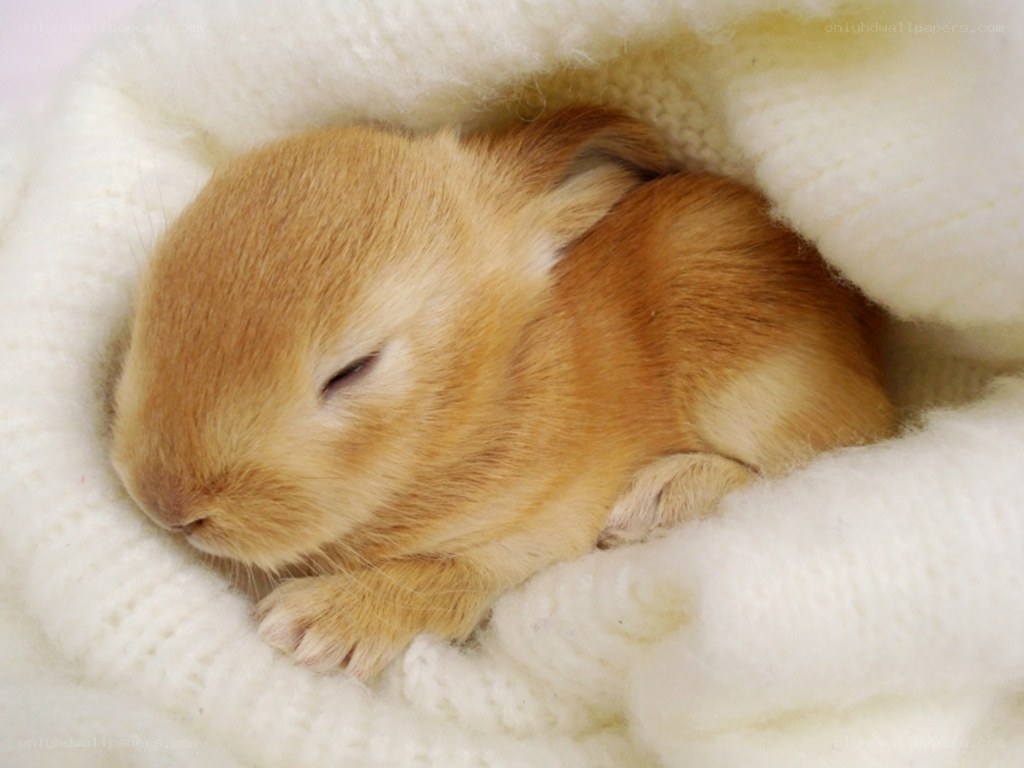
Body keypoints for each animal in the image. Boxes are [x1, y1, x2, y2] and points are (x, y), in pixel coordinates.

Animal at [110, 106, 895, 680]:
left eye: (353, 369)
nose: (166, 503)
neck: (477, 399)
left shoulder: (532, 532)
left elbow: (443, 577)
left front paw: (312, 624)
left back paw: (657, 498)